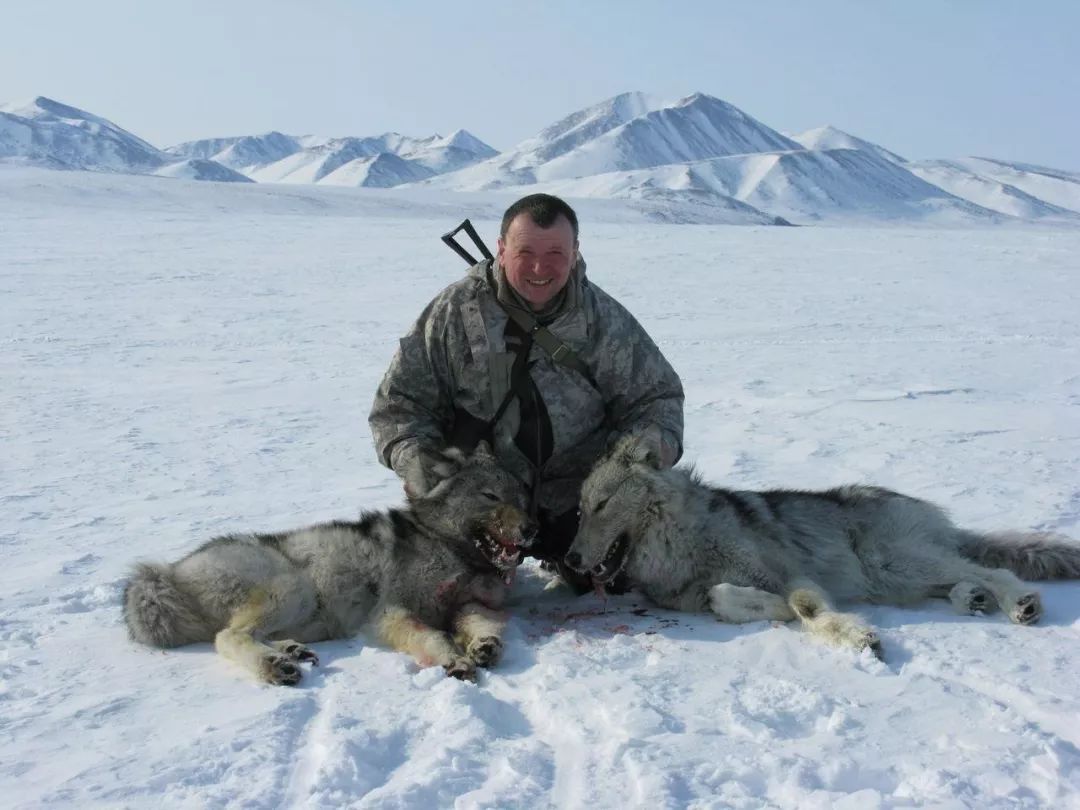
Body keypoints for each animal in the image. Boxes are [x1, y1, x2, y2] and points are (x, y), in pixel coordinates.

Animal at [124, 444, 537, 686]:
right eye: (490, 495)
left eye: (521, 495)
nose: (533, 528)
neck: (453, 551)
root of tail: (172, 573)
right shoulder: (391, 612)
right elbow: (434, 637)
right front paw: (454, 660)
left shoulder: (471, 603)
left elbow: (483, 625)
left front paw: (485, 645)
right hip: (292, 588)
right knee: (228, 636)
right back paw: (274, 666)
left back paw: (291, 651)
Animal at [565, 434, 1080, 656]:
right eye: (579, 510)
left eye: (601, 504)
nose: (569, 558)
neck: (681, 546)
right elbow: (723, 597)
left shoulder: (789, 572)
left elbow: (807, 607)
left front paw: (855, 635)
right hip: (895, 577)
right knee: (966, 576)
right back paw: (971, 599)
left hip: (891, 561)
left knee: (993, 570)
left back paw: (1019, 604)